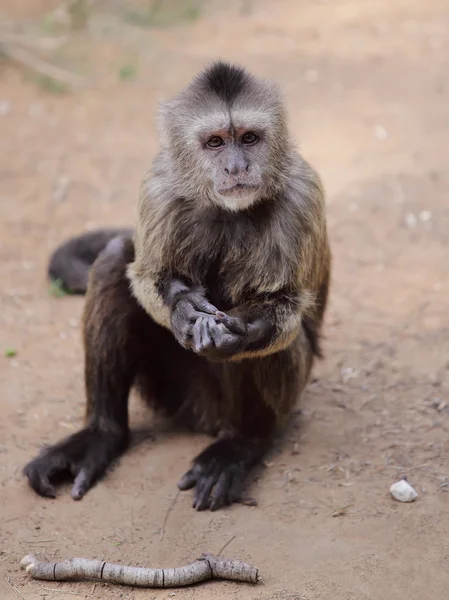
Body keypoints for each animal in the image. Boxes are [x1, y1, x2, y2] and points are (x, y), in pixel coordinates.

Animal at [25, 62, 332, 510]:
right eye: (215, 142)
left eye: (250, 138)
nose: (237, 168)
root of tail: (205, 419)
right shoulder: (159, 187)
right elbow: (145, 275)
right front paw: (183, 307)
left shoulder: (302, 195)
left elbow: (285, 307)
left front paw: (243, 330)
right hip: (170, 390)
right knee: (114, 258)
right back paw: (101, 435)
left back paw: (242, 445)